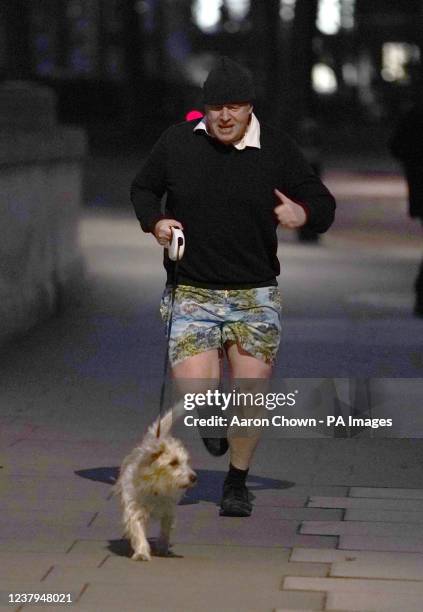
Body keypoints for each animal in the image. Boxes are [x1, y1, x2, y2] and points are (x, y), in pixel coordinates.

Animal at [114, 404, 197, 560]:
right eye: (174, 462)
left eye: (187, 462)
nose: (194, 477)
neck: (156, 486)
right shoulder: (135, 508)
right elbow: (138, 530)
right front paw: (141, 552)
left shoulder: (168, 510)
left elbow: (165, 529)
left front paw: (163, 547)